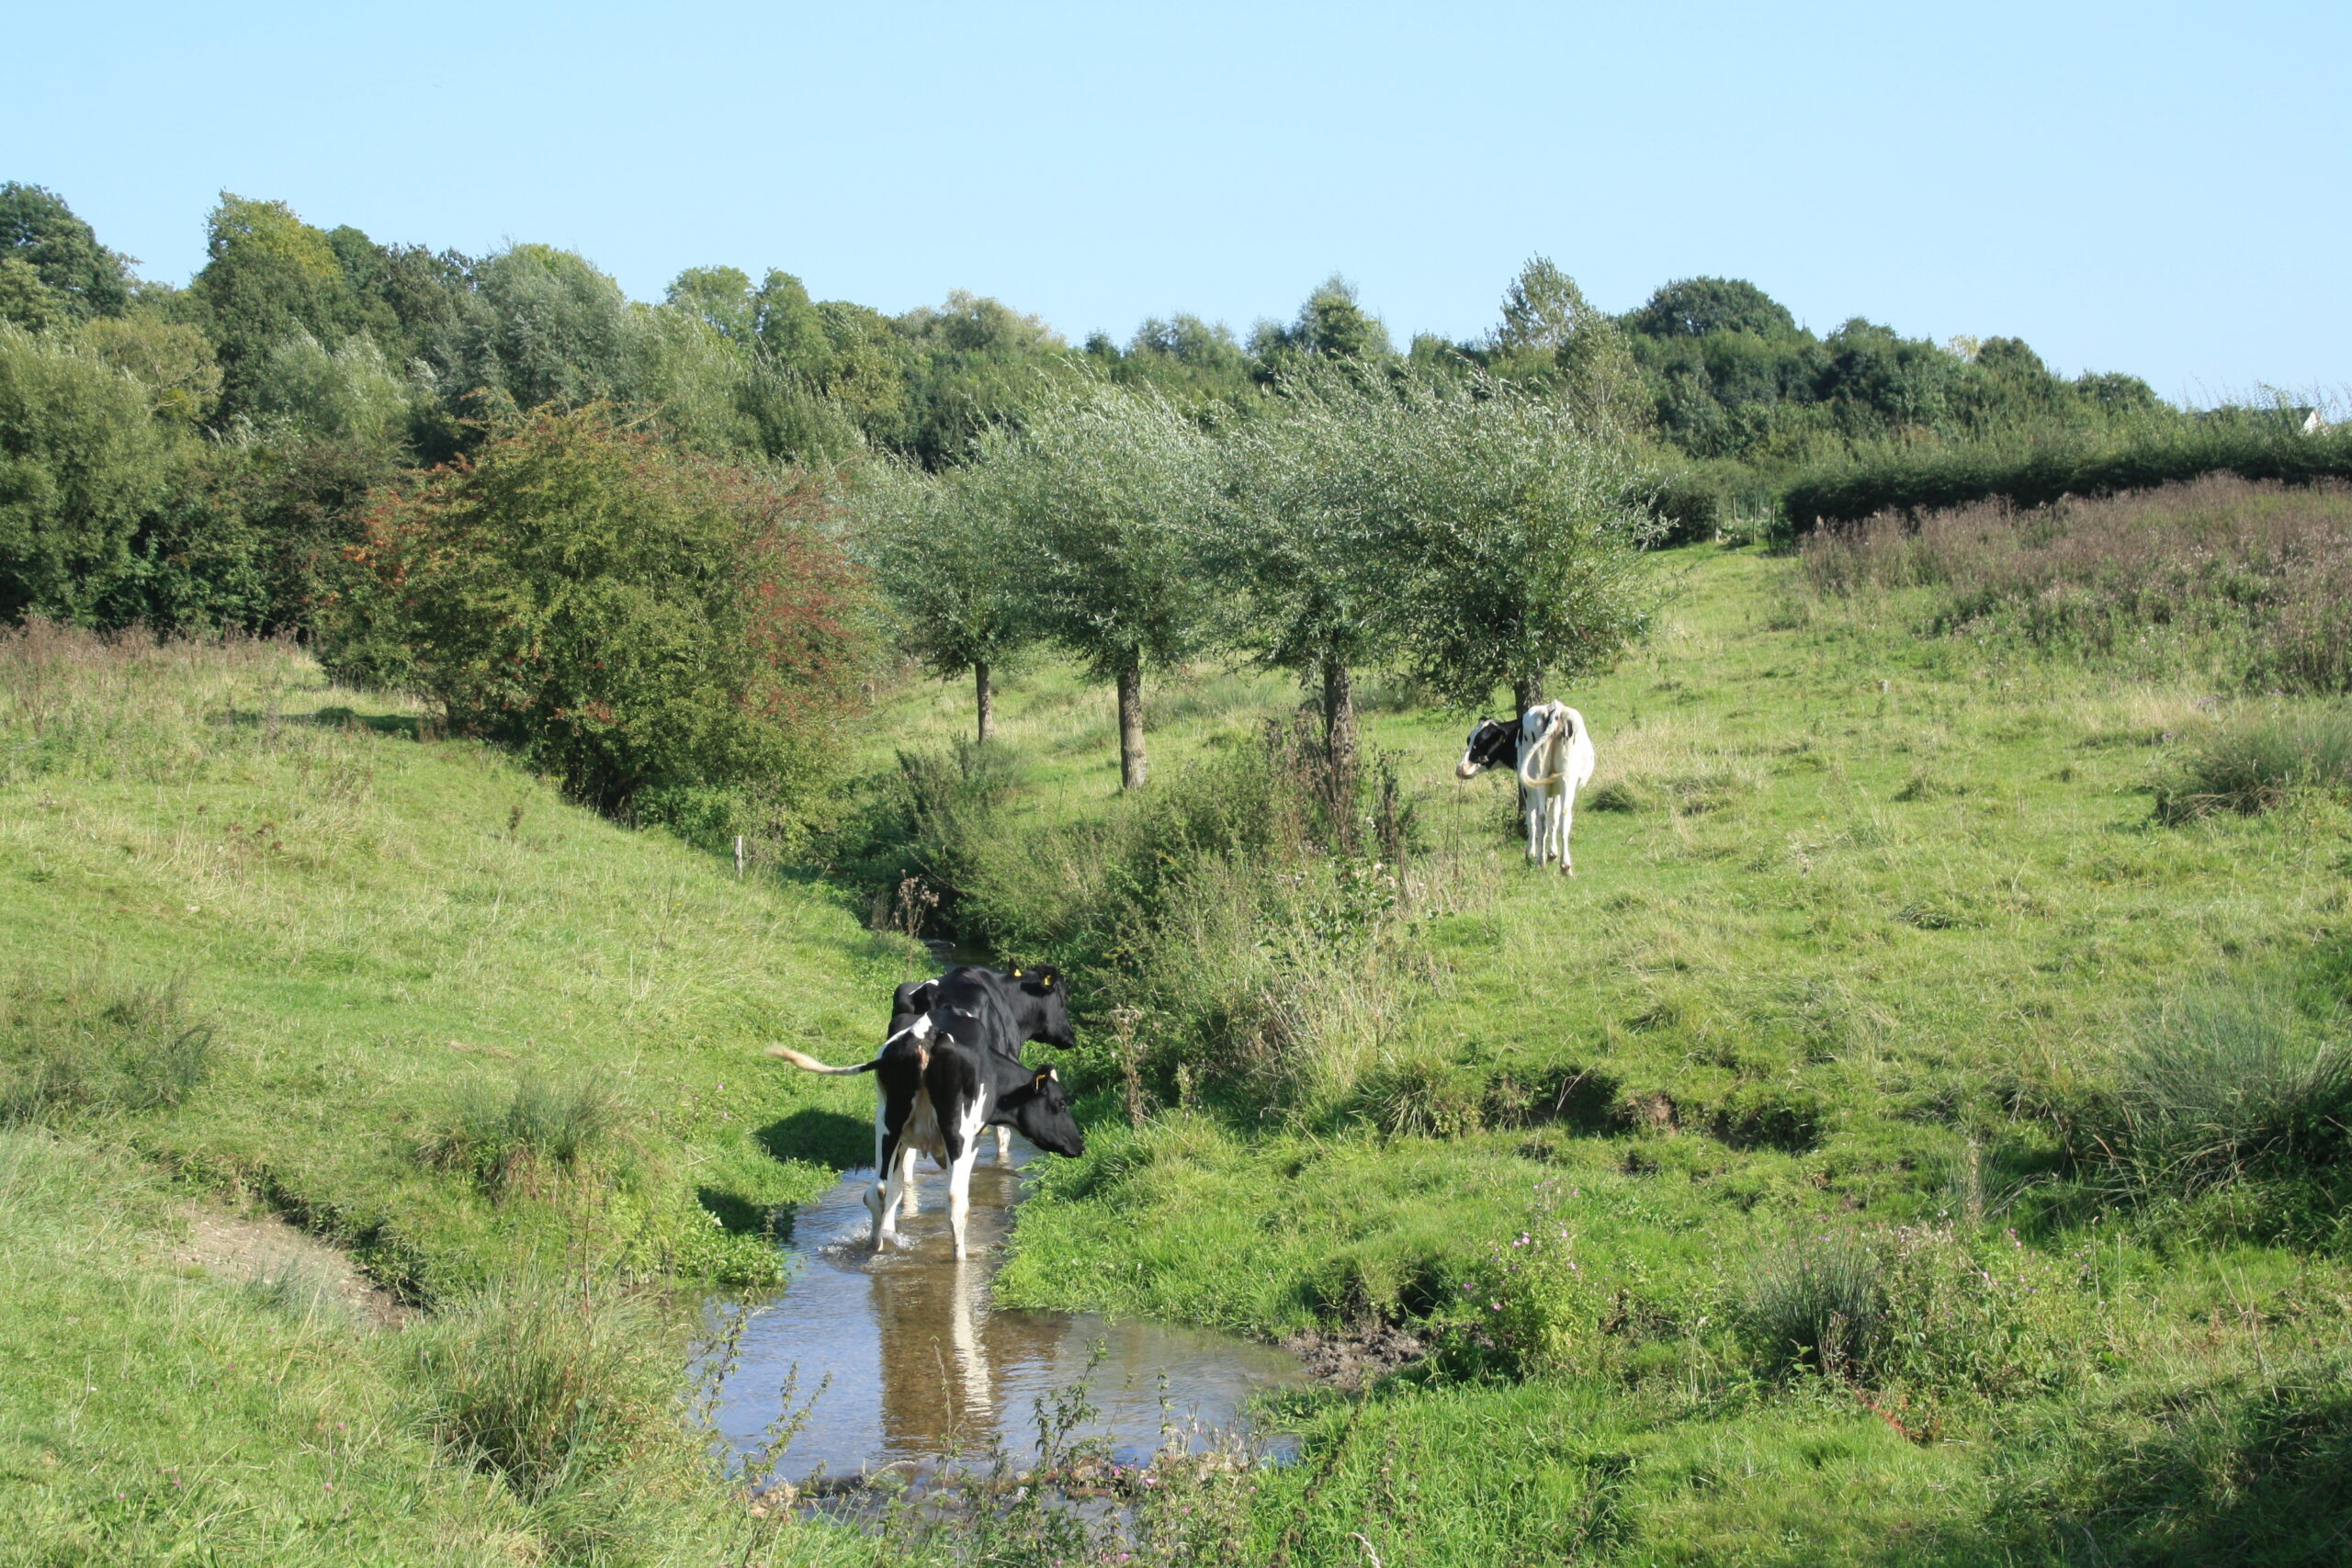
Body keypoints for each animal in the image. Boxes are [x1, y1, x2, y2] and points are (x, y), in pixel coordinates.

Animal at [768, 1008, 1084, 1260]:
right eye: (1061, 1103)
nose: (1079, 1144)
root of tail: (926, 1037)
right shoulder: (970, 1141)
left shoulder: (904, 1142)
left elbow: (896, 1189)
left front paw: (890, 1234)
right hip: (956, 1131)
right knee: (956, 1201)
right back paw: (960, 1259)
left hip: (887, 1122)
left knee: (878, 1190)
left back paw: (875, 1247)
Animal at [1457, 701, 1597, 873]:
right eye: (1469, 740)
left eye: (1481, 743)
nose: (1460, 769)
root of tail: (1554, 708)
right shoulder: (1554, 788)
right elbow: (1554, 818)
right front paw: (1552, 853)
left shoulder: (1527, 788)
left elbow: (1531, 818)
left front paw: (1530, 853)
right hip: (1566, 778)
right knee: (1564, 815)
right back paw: (1565, 865)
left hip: (1537, 779)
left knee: (1540, 817)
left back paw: (1540, 861)